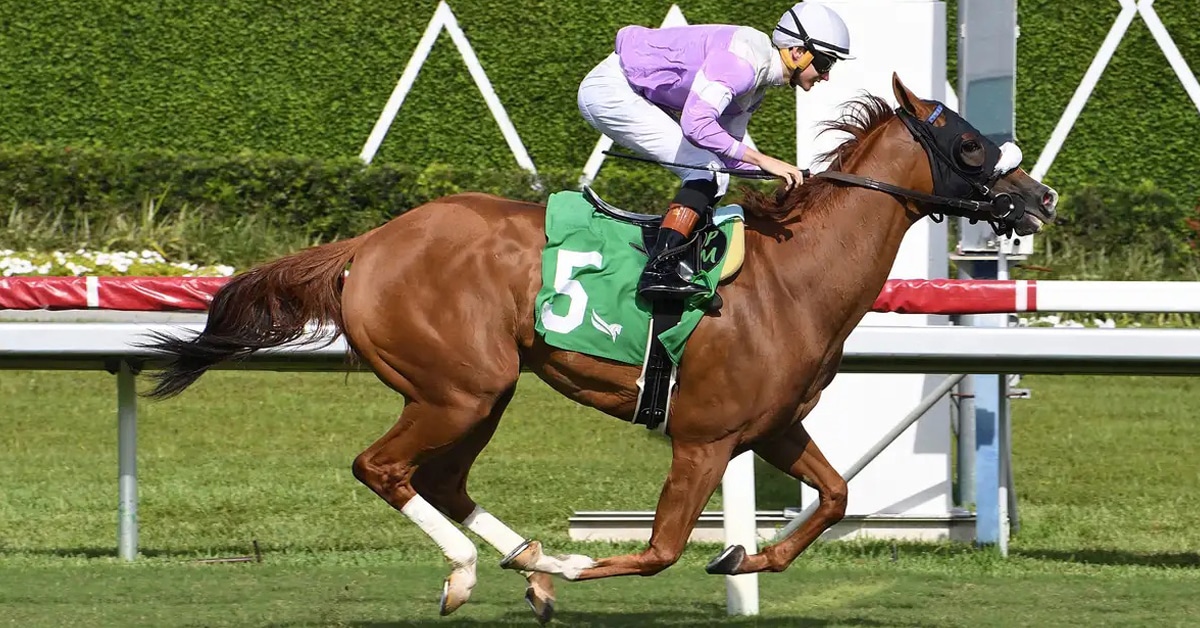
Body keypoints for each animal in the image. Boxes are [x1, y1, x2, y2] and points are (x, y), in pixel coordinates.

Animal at [142, 74, 1058, 622]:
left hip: (482, 390)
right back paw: (483, 569)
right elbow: (658, 550)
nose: (1041, 197)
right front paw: (583, 562)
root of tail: (368, 244)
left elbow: (834, 498)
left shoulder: (772, 427)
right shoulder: (703, 438)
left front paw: (750, 554)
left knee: (439, 479)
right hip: (459, 387)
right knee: (383, 467)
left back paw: (525, 562)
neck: (793, 274)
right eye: (970, 145)